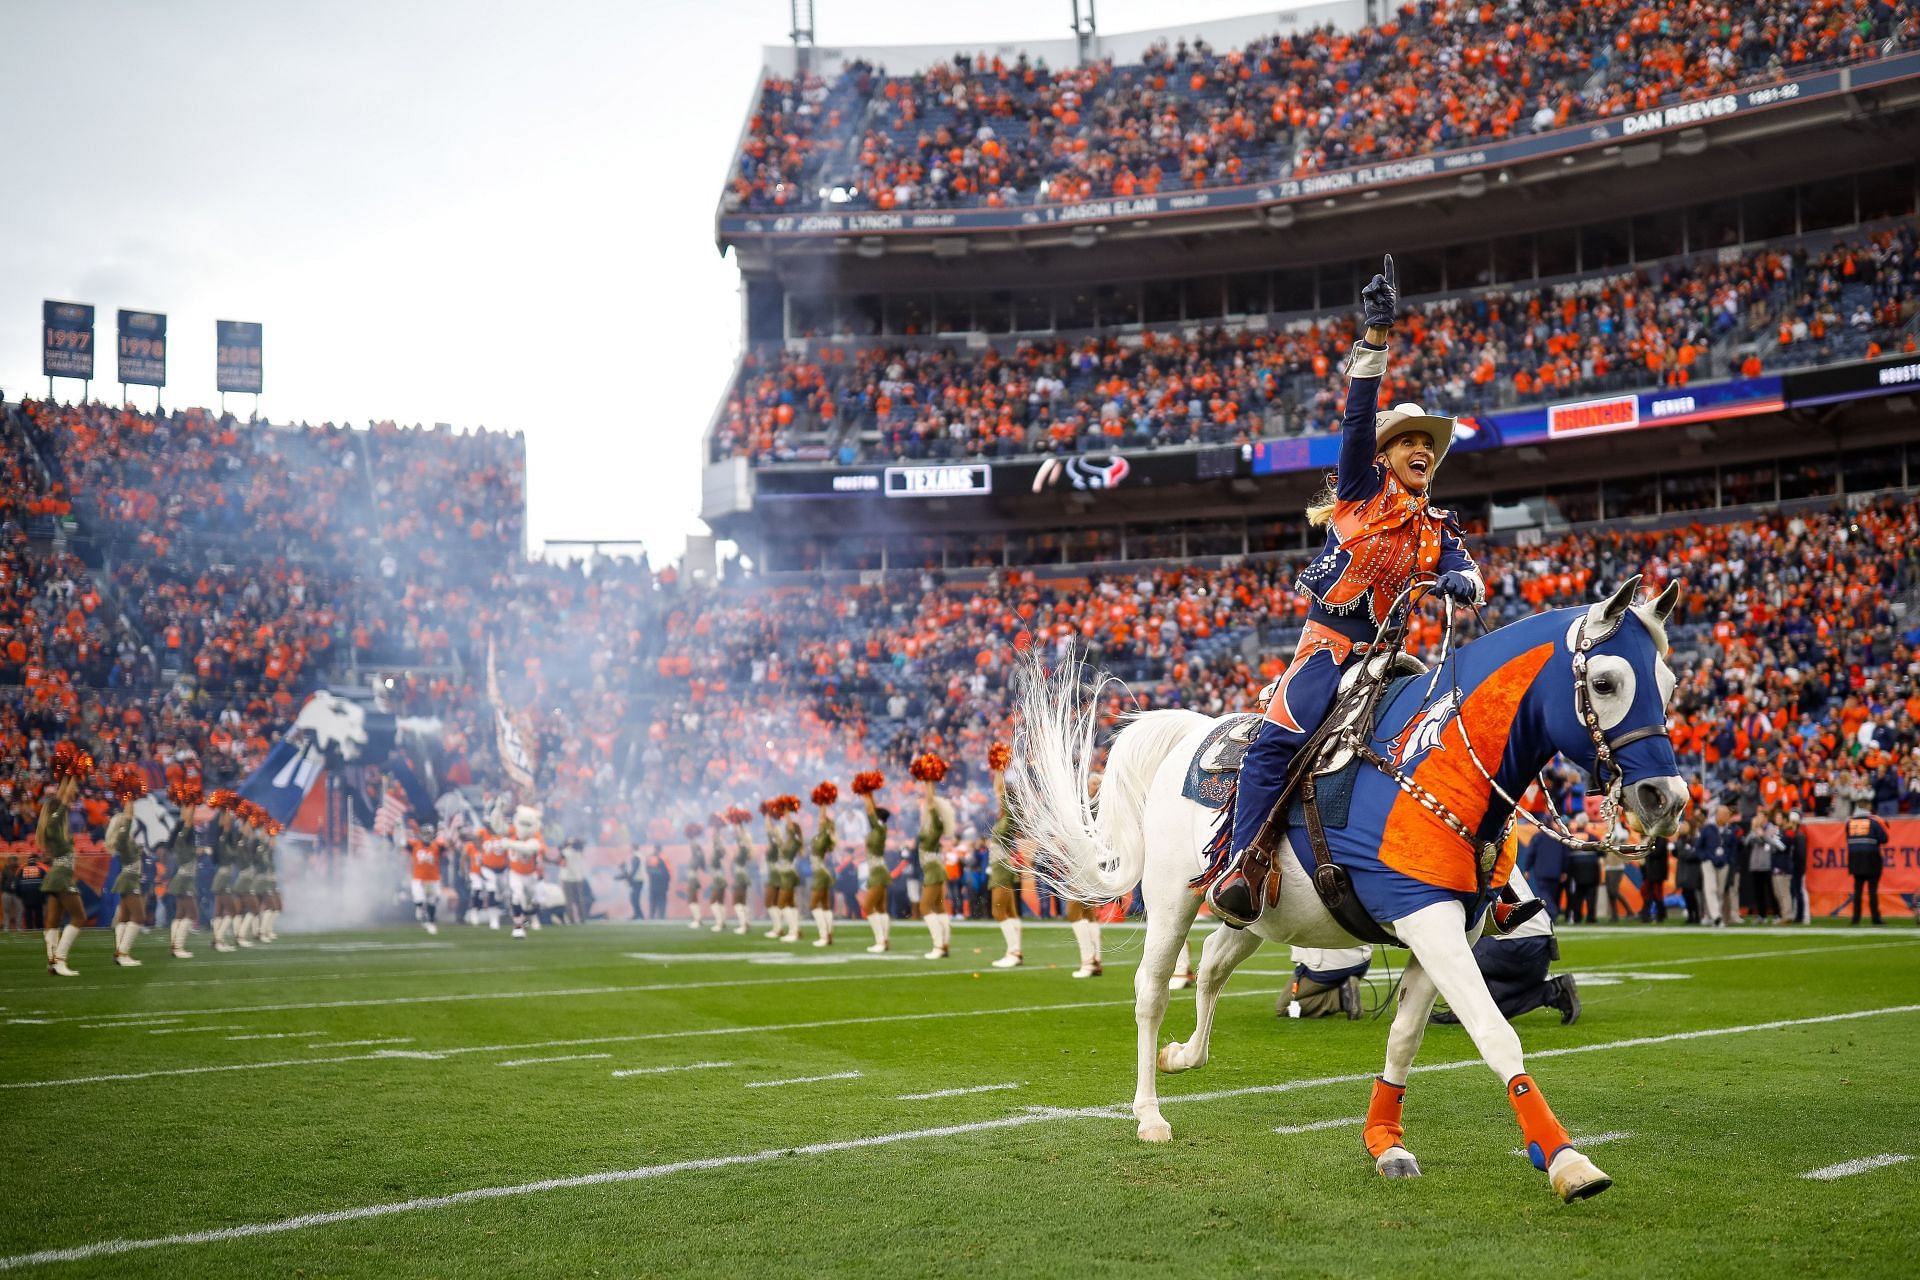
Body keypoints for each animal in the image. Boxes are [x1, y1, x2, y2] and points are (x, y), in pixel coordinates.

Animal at [1013, 579, 1689, 1205]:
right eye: (1605, 682)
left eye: (1671, 683)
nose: (1668, 799)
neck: (1434, 760)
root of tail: (1194, 733)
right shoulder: (1425, 917)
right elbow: (1496, 1033)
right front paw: (1567, 1162)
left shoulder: (1449, 927)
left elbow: (1404, 1039)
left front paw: (1385, 1142)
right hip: (1172, 901)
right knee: (1152, 991)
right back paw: (1150, 1113)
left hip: (1255, 915)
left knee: (1209, 968)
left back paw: (1183, 1056)